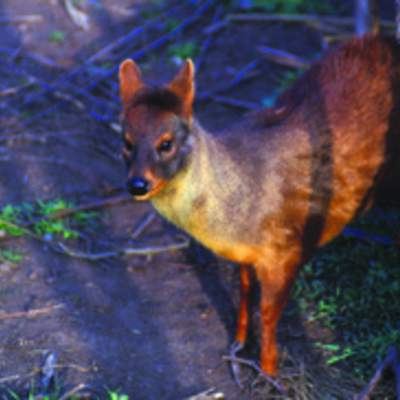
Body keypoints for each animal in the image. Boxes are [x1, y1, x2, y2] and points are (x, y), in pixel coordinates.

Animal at [119, 34, 400, 378]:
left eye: (166, 143)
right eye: (127, 142)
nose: (137, 184)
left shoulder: (286, 249)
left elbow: (268, 312)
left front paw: (270, 371)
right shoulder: (246, 253)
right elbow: (244, 292)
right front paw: (239, 344)